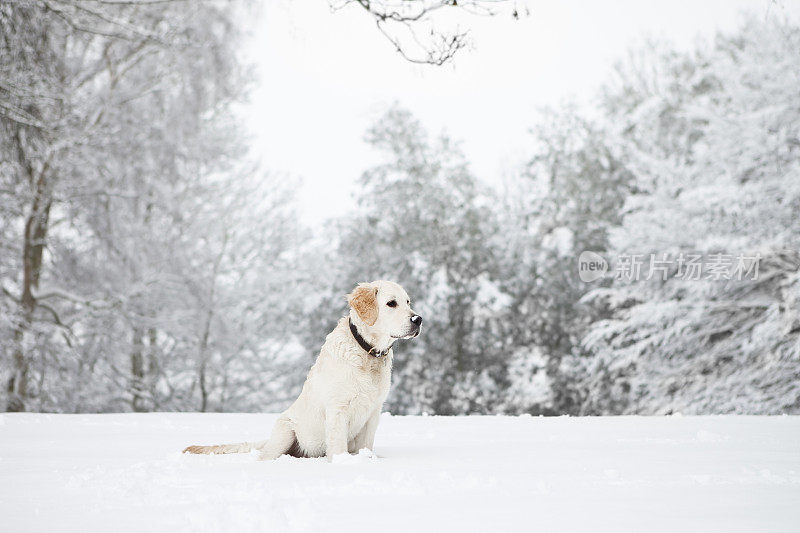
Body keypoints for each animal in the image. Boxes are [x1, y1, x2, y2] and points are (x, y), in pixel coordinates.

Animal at [182, 280, 422, 460]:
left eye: (408, 302)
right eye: (391, 303)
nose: (418, 319)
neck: (368, 352)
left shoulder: (374, 411)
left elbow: (366, 446)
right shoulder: (338, 409)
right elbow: (337, 446)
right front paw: (342, 463)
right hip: (286, 431)